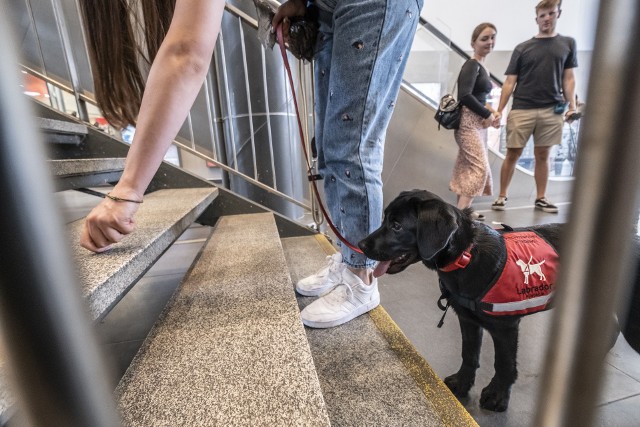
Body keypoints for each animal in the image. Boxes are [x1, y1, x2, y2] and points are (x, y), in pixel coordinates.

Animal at [360, 189, 632, 412]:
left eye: (396, 225)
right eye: (385, 219)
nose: (361, 245)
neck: (467, 255)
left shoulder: (506, 327)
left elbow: (504, 364)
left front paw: (497, 397)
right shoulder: (468, 319)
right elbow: (469, 354)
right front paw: (462, 384)